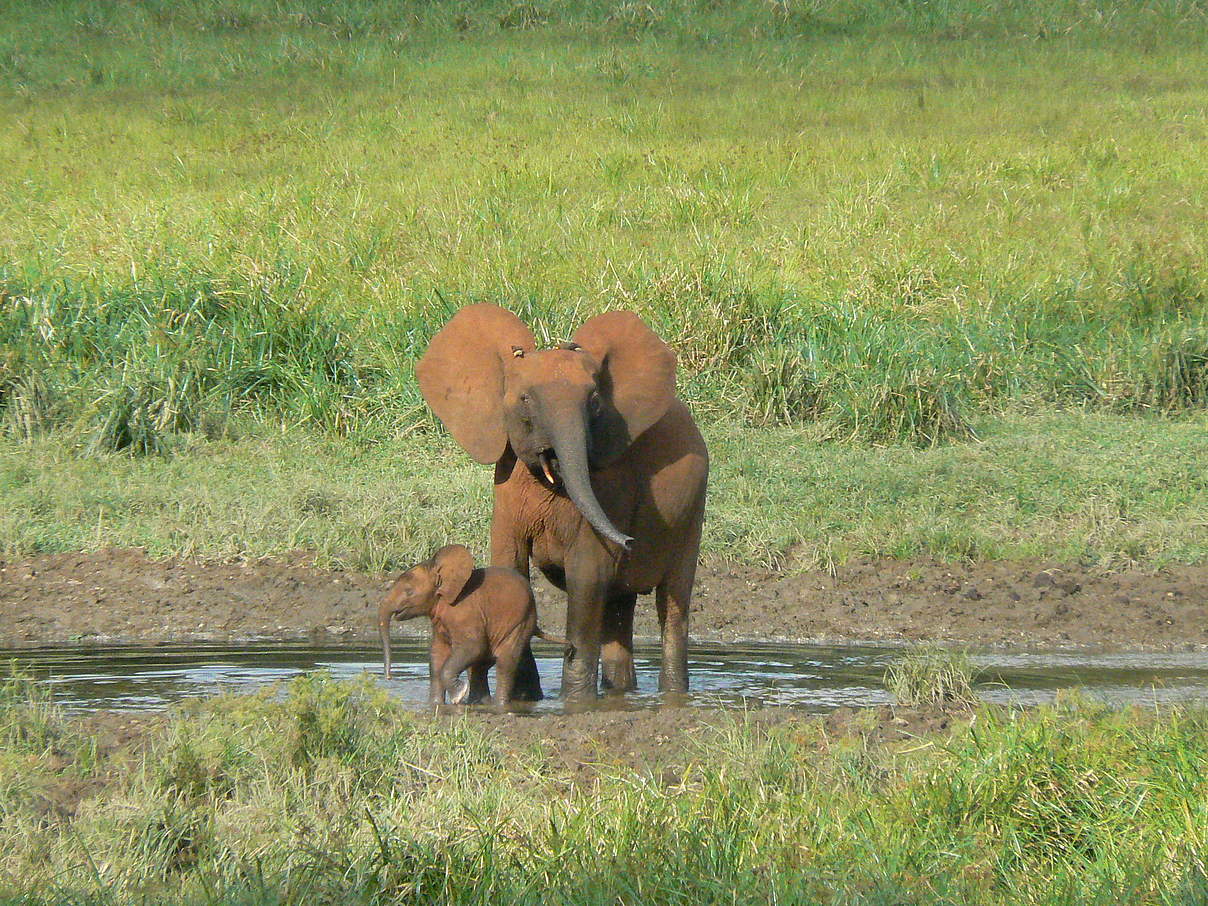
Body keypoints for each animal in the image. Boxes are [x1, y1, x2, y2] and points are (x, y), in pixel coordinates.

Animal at [376, 546, 565, 710]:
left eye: (409, 591)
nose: (388, 677)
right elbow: (437, 655)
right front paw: (435, 705)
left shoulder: (465, 614)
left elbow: (473, 647)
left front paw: (458, 696)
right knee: (479, 667)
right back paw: (478, 703)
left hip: (520, 623)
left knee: (505, 663)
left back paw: (498, 706)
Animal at [417, 305, 705, 700]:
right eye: (525, 399)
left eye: (594, 402)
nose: (629, 541)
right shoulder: (506, 485)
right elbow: (509, 564)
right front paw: (526, 697)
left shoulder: (610, 485)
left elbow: (588, 573)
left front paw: (574, 700)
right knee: (617, 606)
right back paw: (619, 693)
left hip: (692, 515)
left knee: (672, 604)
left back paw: (670, 692)